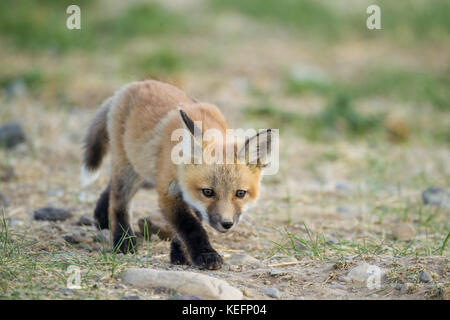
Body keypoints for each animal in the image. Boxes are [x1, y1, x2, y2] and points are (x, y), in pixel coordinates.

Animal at [82, 80, 276, 270]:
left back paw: (101, 217)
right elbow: (190, 226)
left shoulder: (191, 198)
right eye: (208, 192)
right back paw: (123, 241)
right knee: (118, 202)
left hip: (144, 172)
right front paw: (206, 255)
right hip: (128, 169)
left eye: (240, 193)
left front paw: (180, 254)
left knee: (110, 188)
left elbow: (186, 228)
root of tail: (132, 85)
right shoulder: (168, 194)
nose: (226, 224)